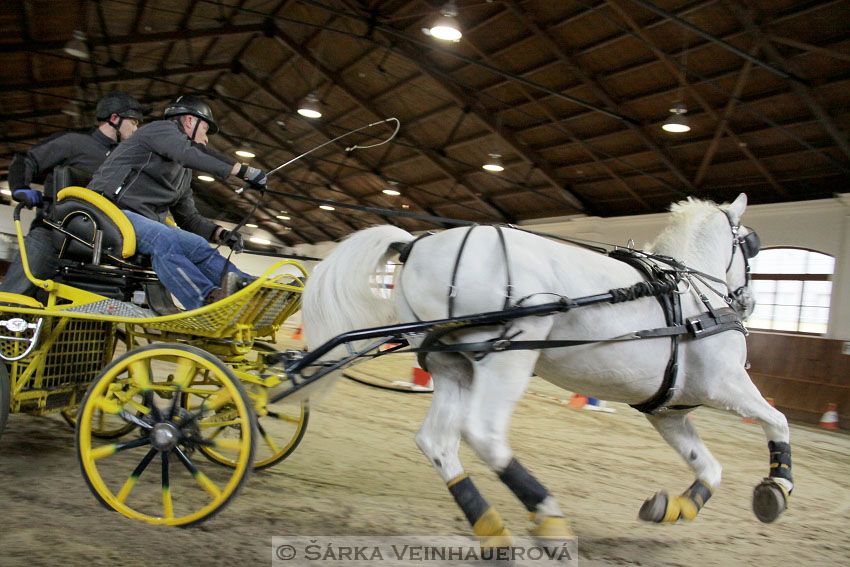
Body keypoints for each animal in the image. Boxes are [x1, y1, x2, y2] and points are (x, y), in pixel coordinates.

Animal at [302, 194, 792, 544]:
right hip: (509, 354)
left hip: (451, 363)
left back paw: (490, 528)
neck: (692, 297)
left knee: (437, 441)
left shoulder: (668, 411)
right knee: (484, 434)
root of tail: (416, 243)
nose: (748, 302)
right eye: (750, 245)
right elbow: (777, 419)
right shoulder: (725, 385)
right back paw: (548, 516)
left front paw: (674, 507)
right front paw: (777, 487)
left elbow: (709, 468)